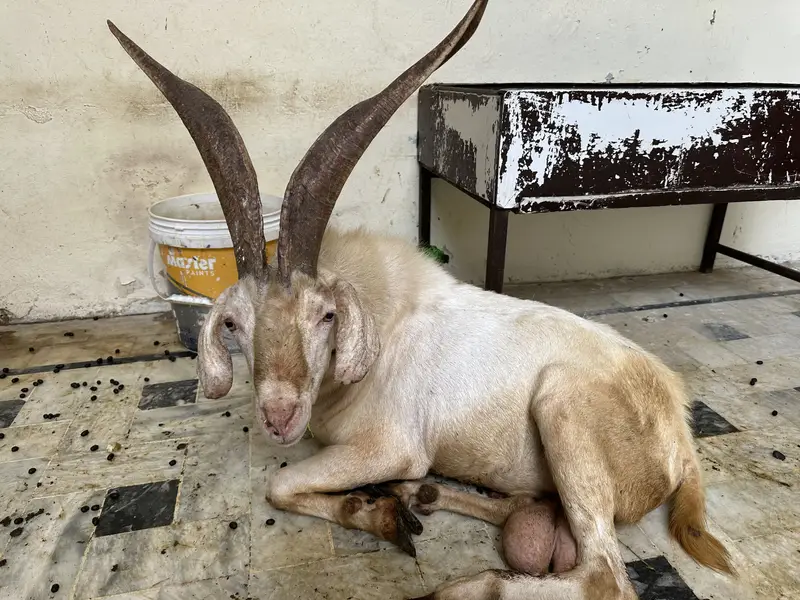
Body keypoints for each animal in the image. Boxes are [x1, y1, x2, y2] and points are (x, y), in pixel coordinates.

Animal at [108, 1, 734, 597]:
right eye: (234, 323)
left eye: (326, 316)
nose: (278, 417)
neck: (382, 321)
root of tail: (679, 434)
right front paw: (377, 509)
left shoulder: (389, 446)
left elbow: (278, 483)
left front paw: (375, 509)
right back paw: (425, 498)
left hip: (562, 406)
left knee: (604, 574)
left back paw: (458, 583)